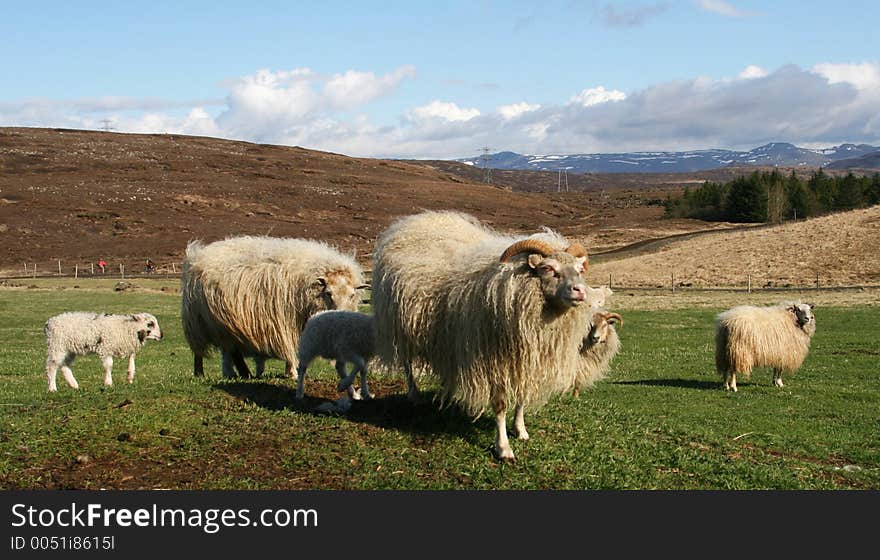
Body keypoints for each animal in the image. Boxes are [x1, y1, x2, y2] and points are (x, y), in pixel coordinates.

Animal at [182, 234, 368, 378]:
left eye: (352, 295)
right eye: (328, 293)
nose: (341, 317)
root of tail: (196, 255)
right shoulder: (286, 322)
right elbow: (292, 348)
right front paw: (292, 372)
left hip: (224, 325)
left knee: (230, 352)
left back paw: (239, 373)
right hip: (198, 322)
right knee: (204, 352)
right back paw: (202, 373)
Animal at [372, 212, 592, 462]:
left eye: (579, 269)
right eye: (548, 269)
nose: (580, 291)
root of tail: (410, 222)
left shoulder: (526, 362)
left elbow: (522, 399)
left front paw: (521, 429)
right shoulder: (493, 363)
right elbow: (500, 406)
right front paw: (503, 448)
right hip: (400, 328)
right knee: (407, 364)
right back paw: (415, 395)